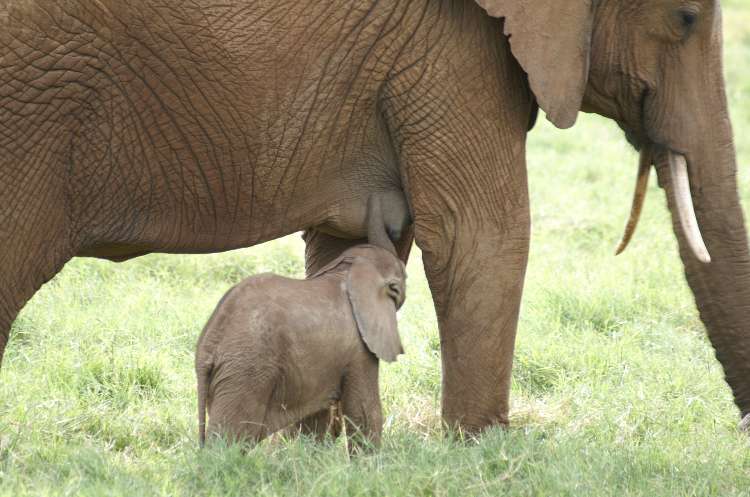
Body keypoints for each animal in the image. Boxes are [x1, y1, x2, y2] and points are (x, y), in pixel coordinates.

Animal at [195, 244, 406, 447]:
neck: (349, 268)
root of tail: (208, 344)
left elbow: (314, 419)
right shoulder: (359, 347)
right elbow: (364, 411)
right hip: (246, 370)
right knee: (229, 439)